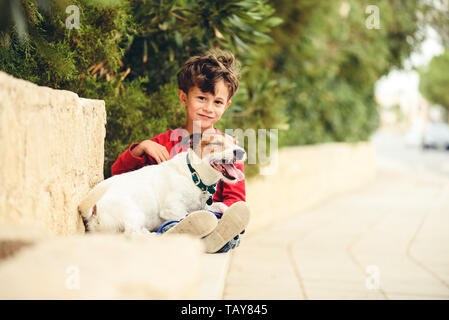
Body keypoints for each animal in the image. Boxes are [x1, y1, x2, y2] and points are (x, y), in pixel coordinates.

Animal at [77, 132, 245, 235]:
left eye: (236, 143)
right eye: (216, 143)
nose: (241, 151)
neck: (194, 176)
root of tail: (93, 211)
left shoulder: (203, 206)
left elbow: (221, 205)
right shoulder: (172, 209)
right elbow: (185, 215)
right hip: (134, 212)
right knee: (132, 233)